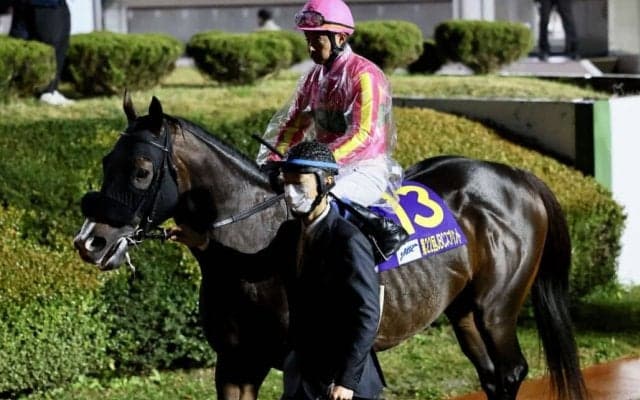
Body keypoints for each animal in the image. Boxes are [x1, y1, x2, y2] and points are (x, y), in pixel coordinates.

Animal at [73, 94, 587, 400]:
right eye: (106, 161)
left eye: (142, 171)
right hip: (462, 311)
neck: (249, 246)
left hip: (496, 306)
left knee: (512, 371)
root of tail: (516, 174)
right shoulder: (235, 361)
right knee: (492, 376)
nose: (90, 241)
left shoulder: (290, 362)